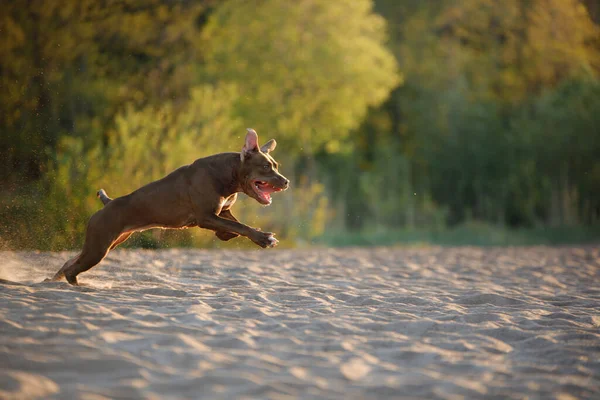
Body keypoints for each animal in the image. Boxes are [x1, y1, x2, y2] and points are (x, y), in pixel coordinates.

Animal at [49, 128, 288, 284]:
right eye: (266, 166)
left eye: (276, 165)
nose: (286, 182)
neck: (229, 173)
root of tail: (107, 203)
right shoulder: (206, 217)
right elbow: (240, 227)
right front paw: (263, 238)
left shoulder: (222, 212)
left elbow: (235, 226)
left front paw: (230, 235)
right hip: (98, 247)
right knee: (73, 269)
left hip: (106, 243)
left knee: (69, 262)